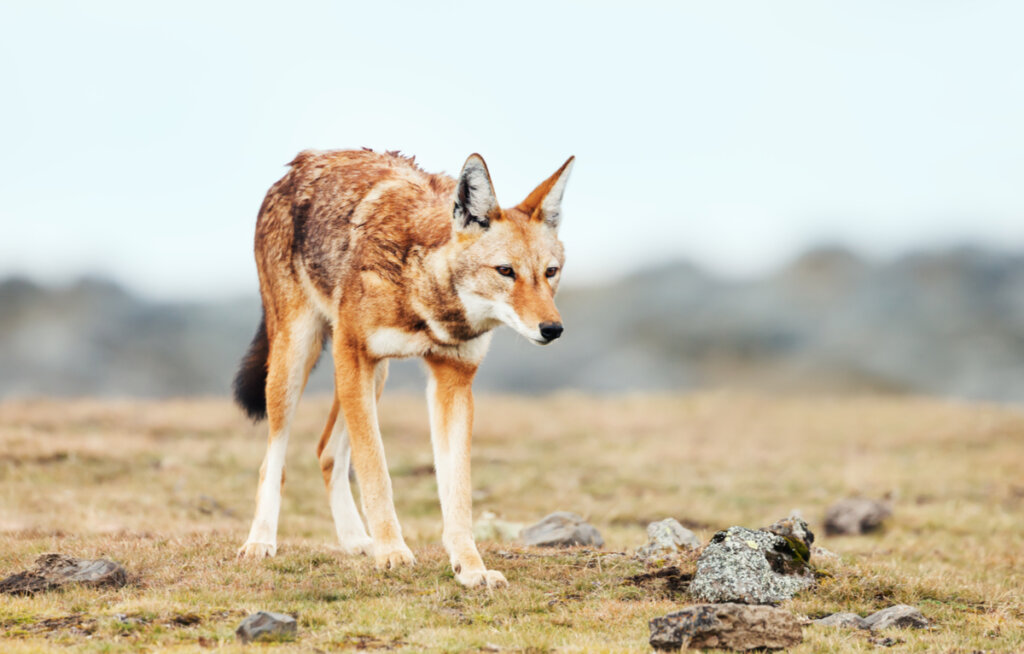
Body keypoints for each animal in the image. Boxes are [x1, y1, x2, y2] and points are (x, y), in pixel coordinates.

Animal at [231, 151, 577, 589]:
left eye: (550, 272)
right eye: (505, 271)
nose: (553, 329)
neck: (425, 294)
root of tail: (298, 165)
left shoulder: (453, 381)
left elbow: (457, 492)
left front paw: (471, 568)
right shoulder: (353, 354)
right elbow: (376, 471)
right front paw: (393, 553)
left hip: (375, 377)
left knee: (326, 453)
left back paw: (355, 540)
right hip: (297, 360)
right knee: (274, 459)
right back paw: (260, 542)